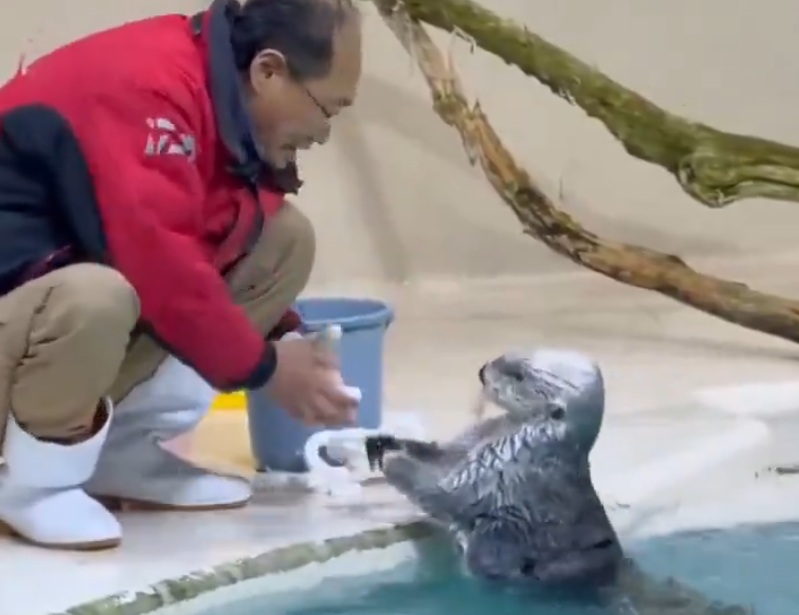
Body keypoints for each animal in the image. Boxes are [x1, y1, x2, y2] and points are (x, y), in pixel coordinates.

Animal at [366, 348, 755, 614]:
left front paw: (392, 459)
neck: (517, 431)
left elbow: (446, 491)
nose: (482, 371)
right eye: (508, 354)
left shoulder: (502, 466)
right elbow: (440, 454)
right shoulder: (472, 443)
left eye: (519, 375)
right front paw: (386, 441)